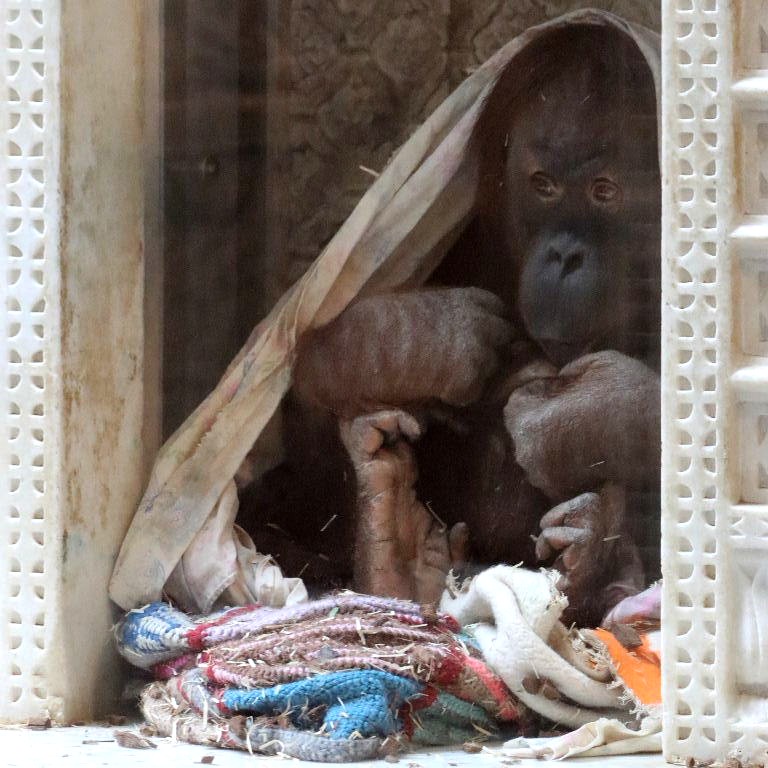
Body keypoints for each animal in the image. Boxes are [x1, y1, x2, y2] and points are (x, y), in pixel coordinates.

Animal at [238, 24, 661, 628]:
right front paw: (428, 339)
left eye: (605, 191)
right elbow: (302, 365)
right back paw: (391, 541)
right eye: (544, 186)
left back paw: (591, 561)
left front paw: (589, 410)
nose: (564, 256)